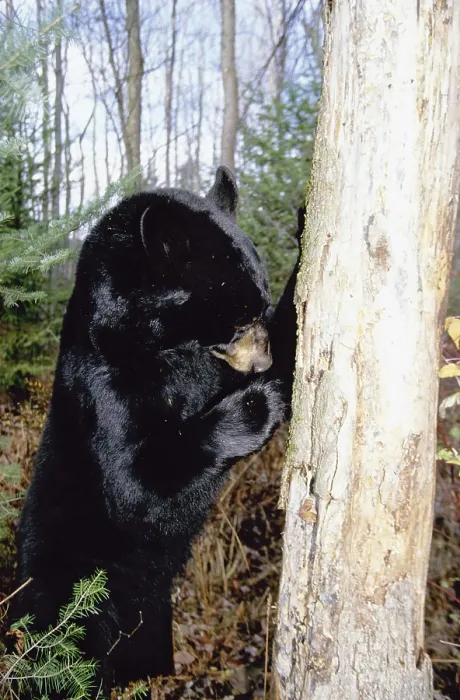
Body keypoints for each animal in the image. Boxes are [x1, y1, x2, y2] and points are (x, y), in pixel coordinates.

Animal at [12, 167, 298, 692]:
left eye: (258, 307)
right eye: (239, 316)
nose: (262, 363)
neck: (159, 347)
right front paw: (258, 402)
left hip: (154, 617)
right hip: (70, 592)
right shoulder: (106, 386)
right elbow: (135, 486)